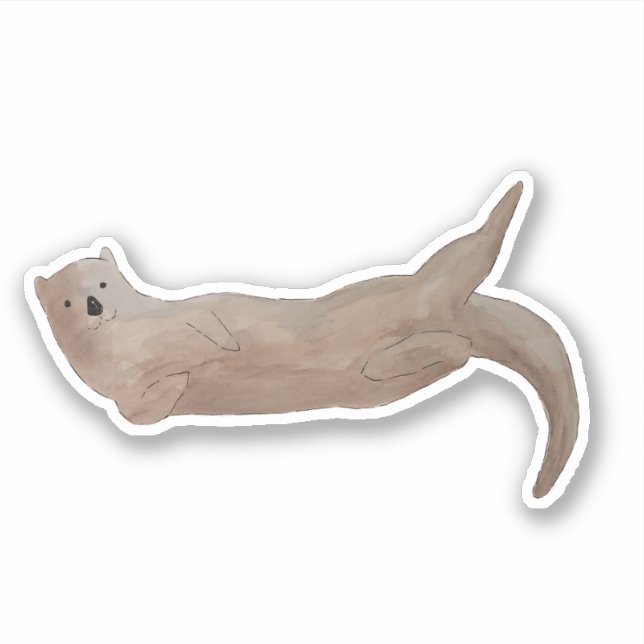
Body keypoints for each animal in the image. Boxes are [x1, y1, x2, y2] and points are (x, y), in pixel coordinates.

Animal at [25, 172, 589, 508]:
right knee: (448, 351)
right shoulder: (124, 396)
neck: (131, 348)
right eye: (68, 303)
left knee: (458, 260)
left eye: (102, 284)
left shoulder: (187, 310)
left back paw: (513, 196)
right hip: (406, 349)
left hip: (409, 291)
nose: (94, 305)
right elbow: (136, 415)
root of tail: (461, 311)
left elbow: (207, 317)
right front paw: (183, 380)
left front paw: (220, 346)